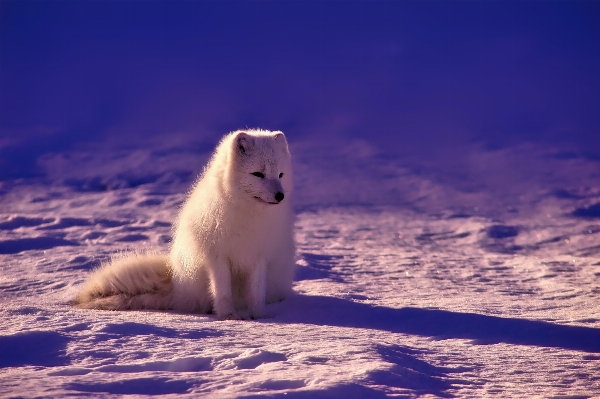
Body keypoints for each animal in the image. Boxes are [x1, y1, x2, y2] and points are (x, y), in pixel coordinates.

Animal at [75, 130, 296, 320]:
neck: (248, 215)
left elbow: (256, 292)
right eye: (258, 174)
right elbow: (222, 291)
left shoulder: (260, 256)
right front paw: (228, 316)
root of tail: (177, 285)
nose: (280, 196)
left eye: (280, 175)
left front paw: (258, 316)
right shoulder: (217, 256)